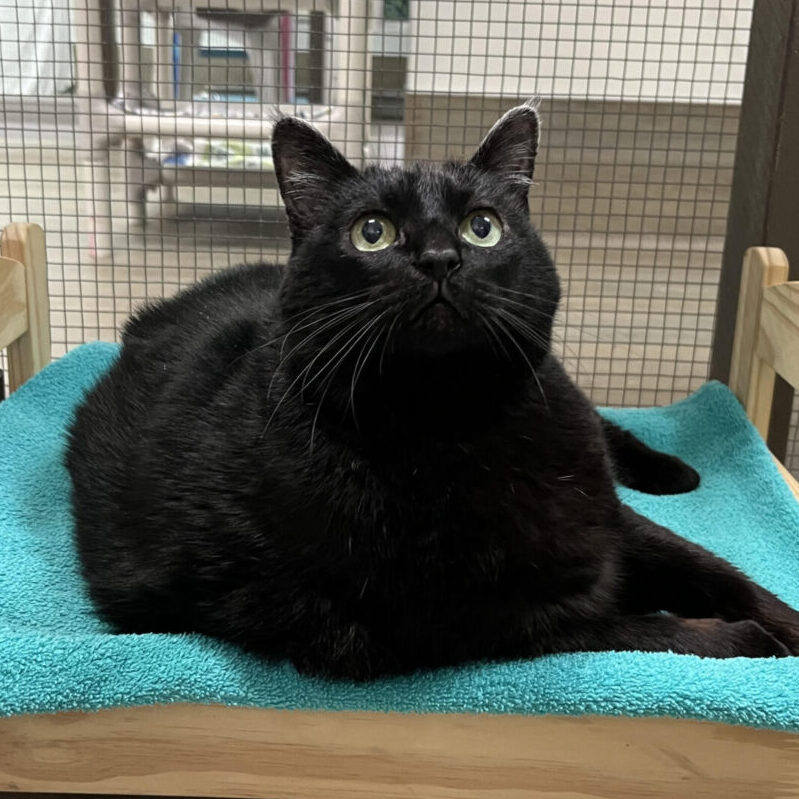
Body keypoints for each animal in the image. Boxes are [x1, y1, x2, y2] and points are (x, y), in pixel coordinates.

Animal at [67, 103, 799, 680]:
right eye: (372, 232)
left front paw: (778, 620)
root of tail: (154, 314)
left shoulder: (610, 520)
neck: (460, 416)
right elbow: (644, 631)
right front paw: (745, 641)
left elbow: (719, 571)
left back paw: (674, 471)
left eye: (482, 225)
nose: (440, 258)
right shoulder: (474, 622)